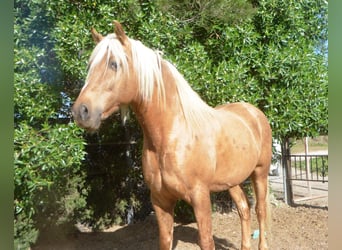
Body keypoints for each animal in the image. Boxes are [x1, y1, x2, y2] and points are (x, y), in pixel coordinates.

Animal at [73, 20, 272, 249]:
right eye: (90, 66)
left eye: (114, 64)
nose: (81, 111)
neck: (170, 136)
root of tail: (253, 112)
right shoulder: (161, 201)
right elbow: (165, 240)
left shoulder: (200, 198)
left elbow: (206, 240)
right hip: (232, 181)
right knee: (243, 208)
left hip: (260, 173)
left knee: (260, 210)